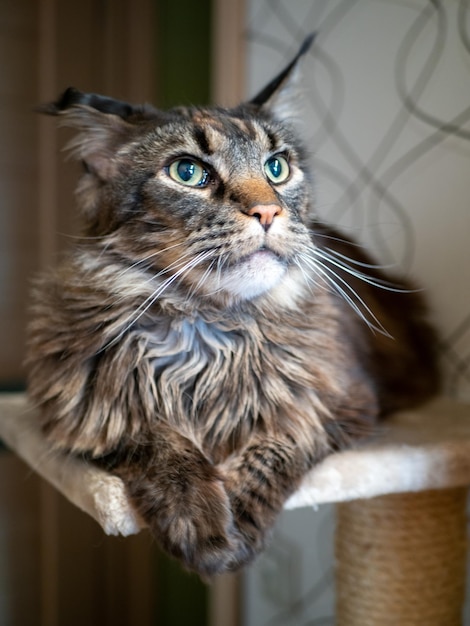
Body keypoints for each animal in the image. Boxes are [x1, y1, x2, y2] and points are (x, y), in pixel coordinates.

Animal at [25, 36, 438, 576]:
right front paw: (198, 519)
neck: (209, 328)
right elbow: (156, 440)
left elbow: (277, 445)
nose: (268, 211)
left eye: (277, 167)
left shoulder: (341, 402)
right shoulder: (79, 416)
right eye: (188, 172)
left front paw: (236, 520)